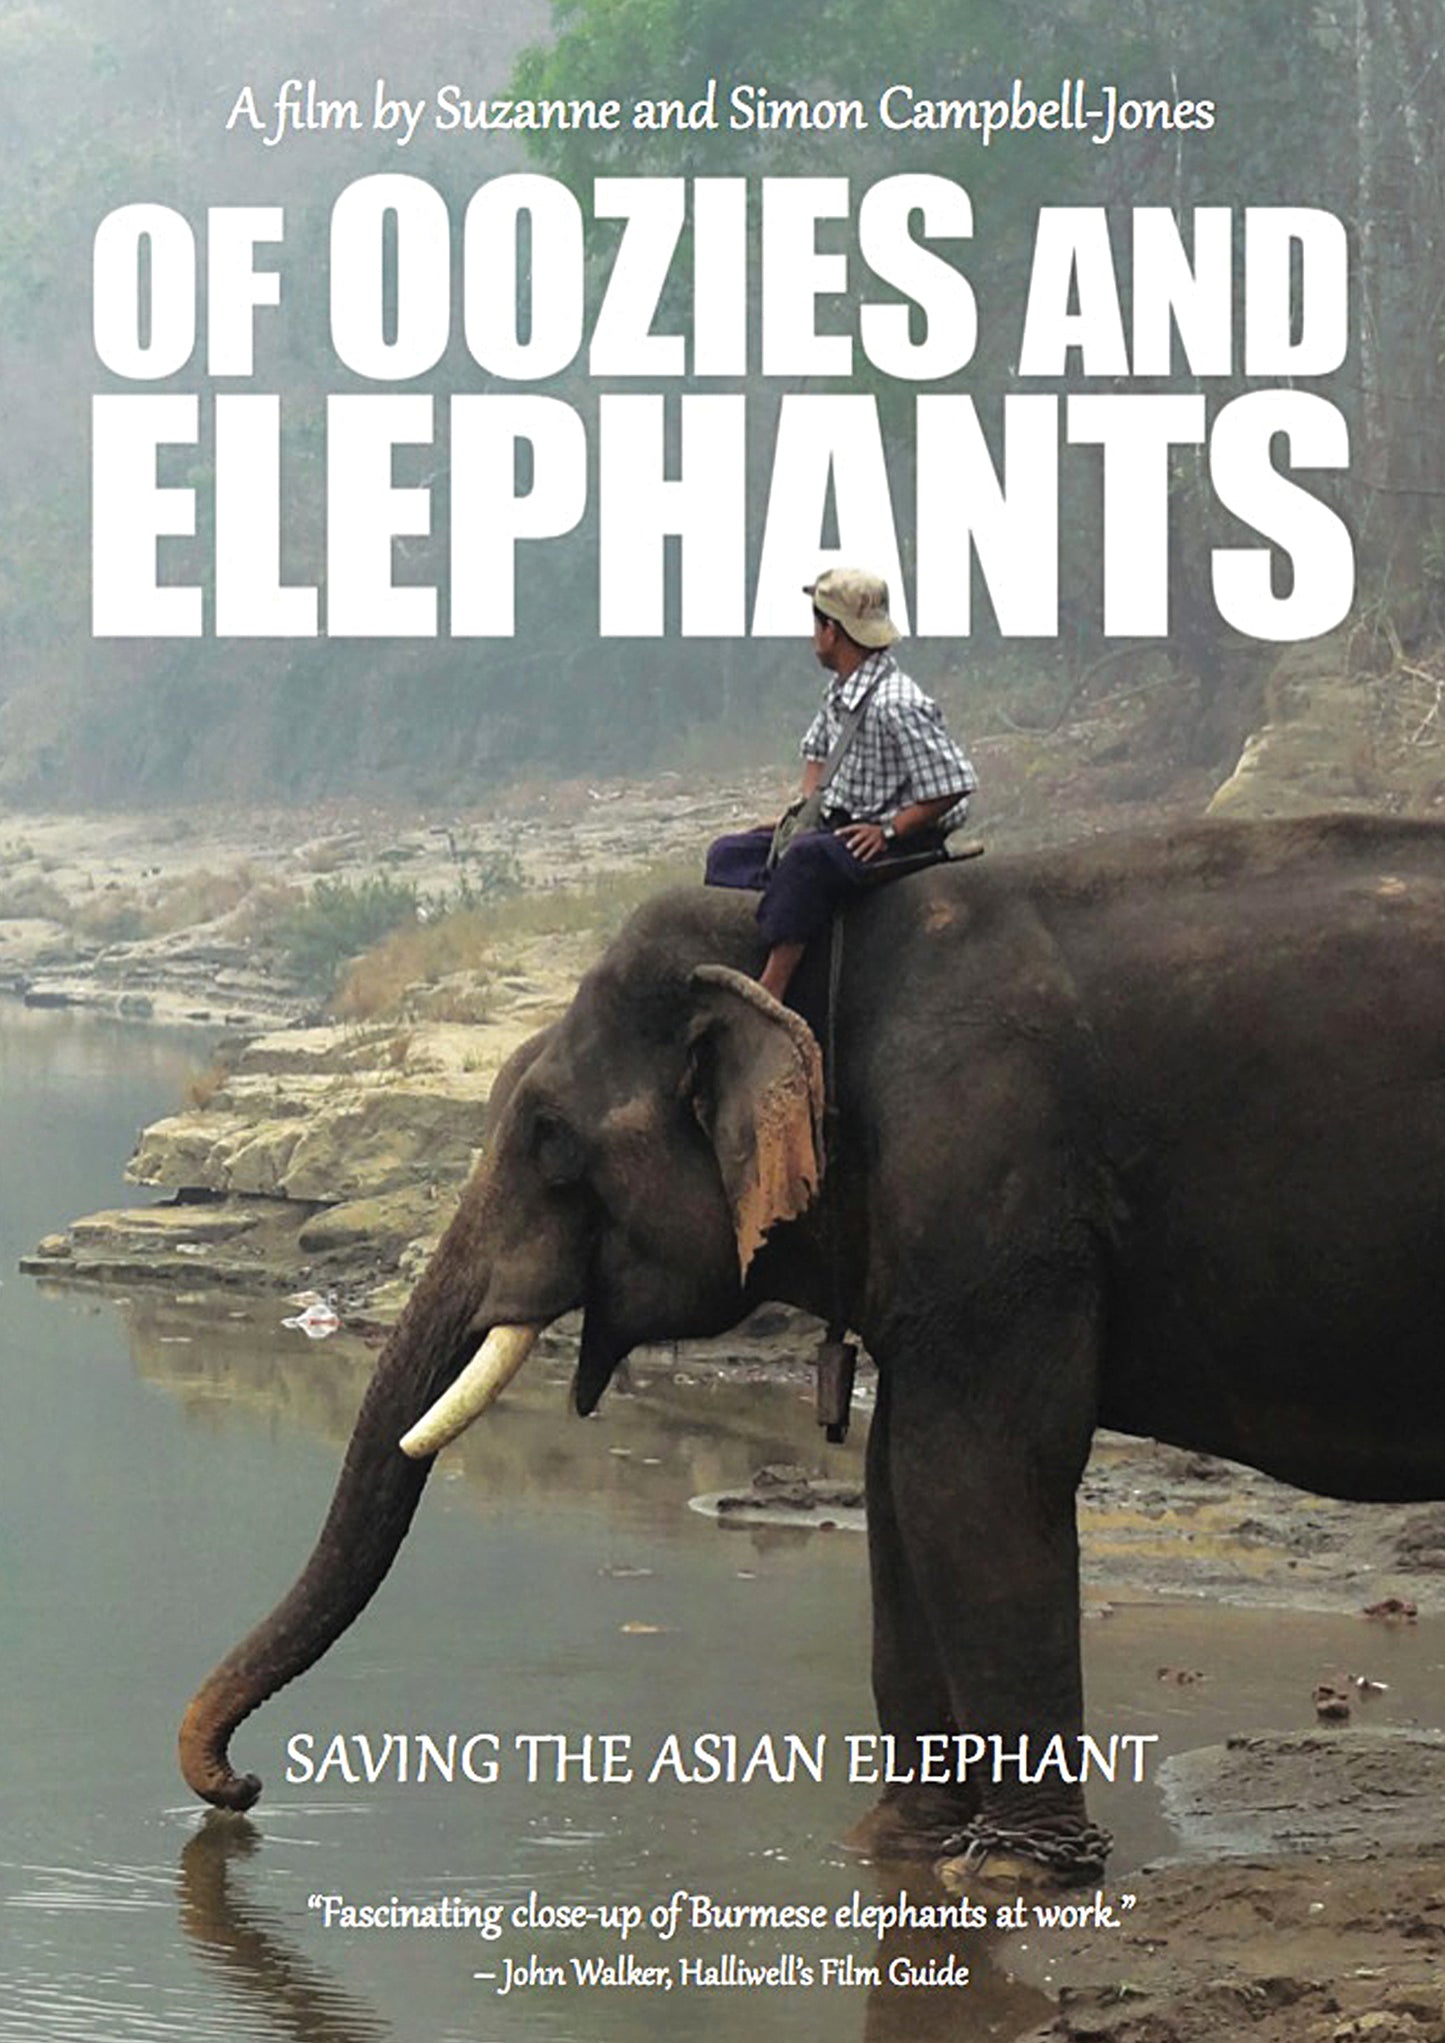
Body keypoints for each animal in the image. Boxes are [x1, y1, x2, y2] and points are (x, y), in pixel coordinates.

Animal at [179, 812, 1445, 1882]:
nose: (243, 1789)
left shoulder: (991, 1180)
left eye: (546, 1136)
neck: (820, 942)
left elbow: (971, 1479)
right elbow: (895, 1490)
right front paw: (891, 1849)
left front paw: (1006, 1877)